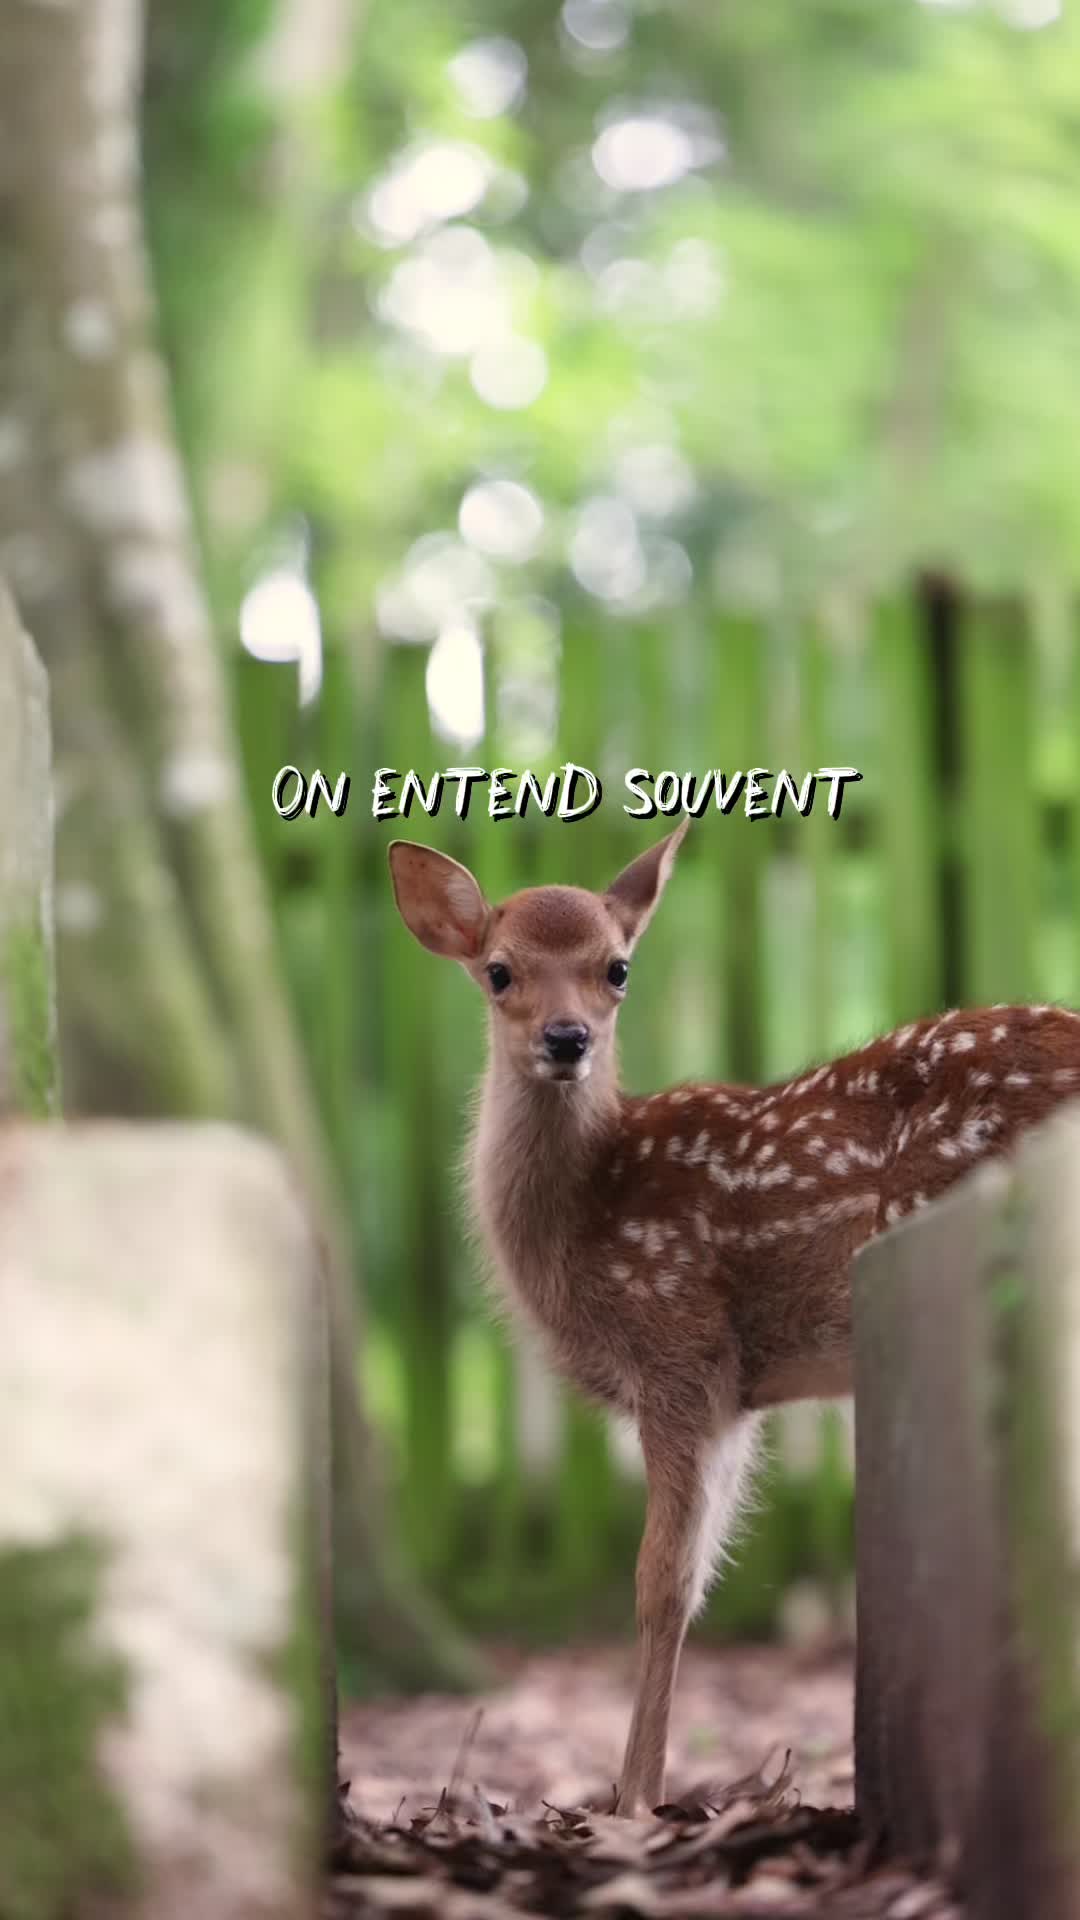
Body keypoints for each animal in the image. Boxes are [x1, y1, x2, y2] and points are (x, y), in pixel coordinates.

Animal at [387, 819, 1080, 1815]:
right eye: (499, 971)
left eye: (617, 968)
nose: (567, 1038)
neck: (587, 1212)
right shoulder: (734, 1396)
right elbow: (700, 1574)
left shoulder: (679, 1344)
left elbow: (662, 1583)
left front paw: (633, 1801)